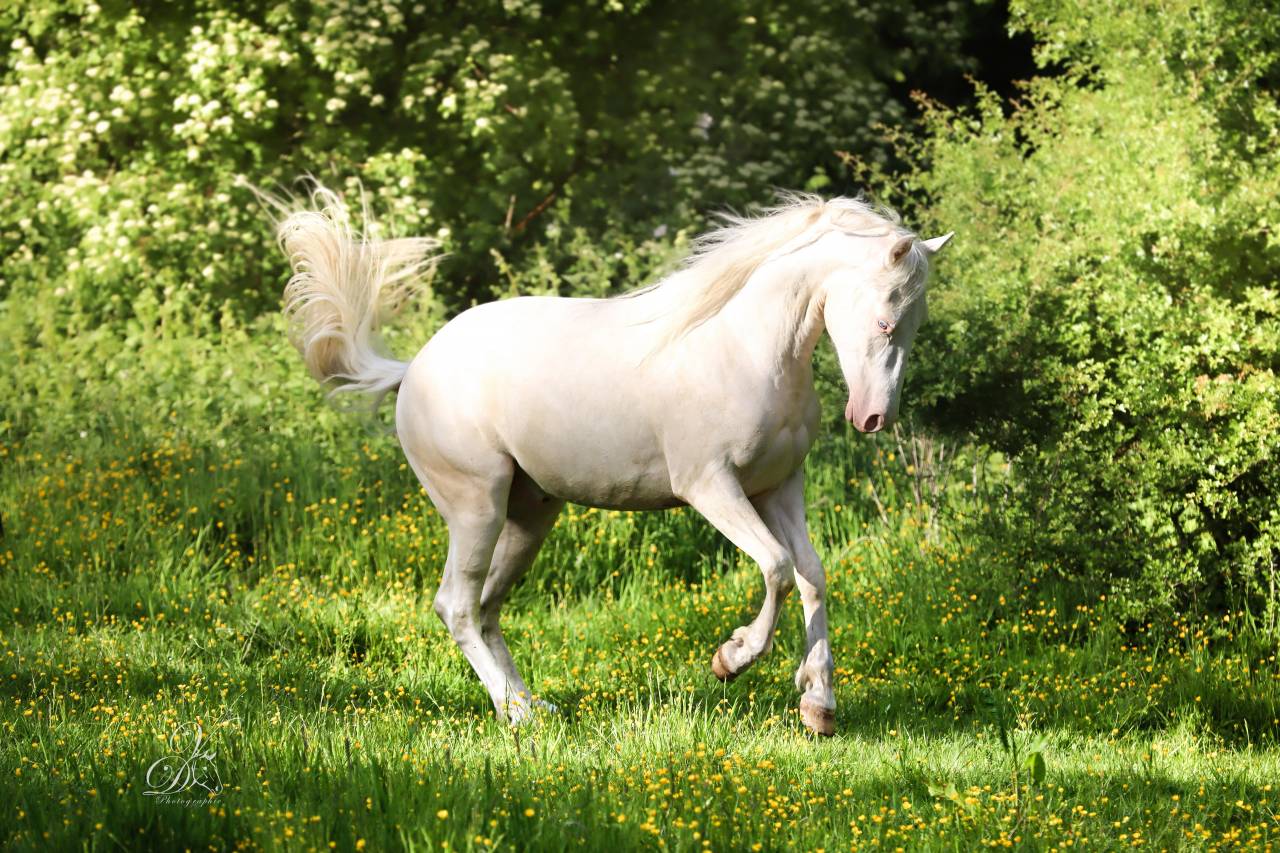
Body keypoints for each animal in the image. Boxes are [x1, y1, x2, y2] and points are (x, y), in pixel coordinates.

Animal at [270, 184, 951, 735]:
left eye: (915, 322)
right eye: (885, 320)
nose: (873, 419)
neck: (748, 348)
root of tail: (413, 369)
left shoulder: (779, 487)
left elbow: (812, 577)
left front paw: (818, 706)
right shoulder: (710, 487)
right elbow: (778, 568)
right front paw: (730, 660)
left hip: (529, 517)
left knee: (486, 608)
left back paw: (532, 705)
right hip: (474, 508)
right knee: (456, 606)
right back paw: (515, 716)